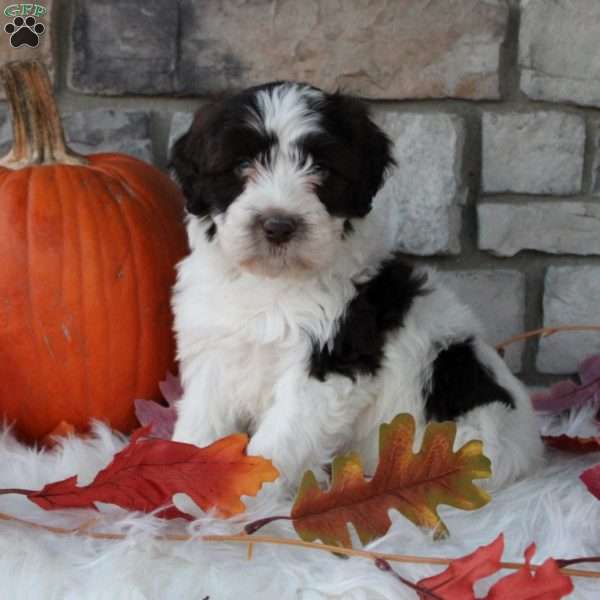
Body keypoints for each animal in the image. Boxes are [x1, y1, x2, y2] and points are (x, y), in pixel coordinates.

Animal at [170, 81, 544, 492]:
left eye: (320, 168)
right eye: (240, 166)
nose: (278, 226)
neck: (271, 282)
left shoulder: (328, 357)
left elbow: (279, 440)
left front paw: (254, 491)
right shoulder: (215, 346)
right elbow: (203, 415)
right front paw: (188, 478)